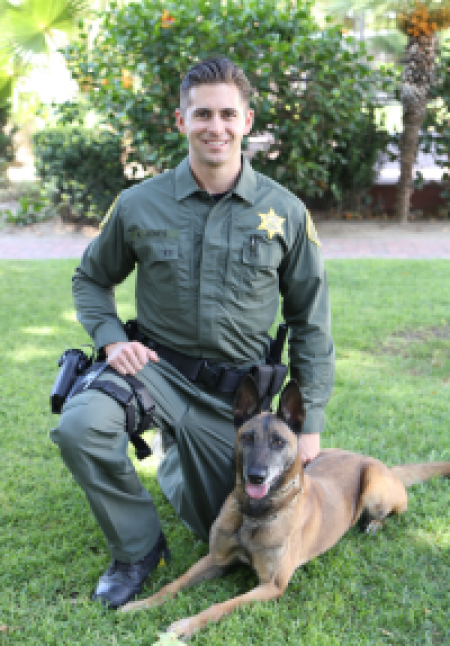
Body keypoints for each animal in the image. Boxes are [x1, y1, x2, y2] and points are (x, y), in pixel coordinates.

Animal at [120, 378, 450, 640]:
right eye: (247, 437)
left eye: (278, 442)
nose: (256, 476)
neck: (255, 513)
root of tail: (374, 461)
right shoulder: (215, 559)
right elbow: (173, 585)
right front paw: (140, 604)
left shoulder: (271, 586)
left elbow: (219, 606)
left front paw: (185, 625)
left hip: (375, 488)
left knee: (388, 512)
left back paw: (372, 524)